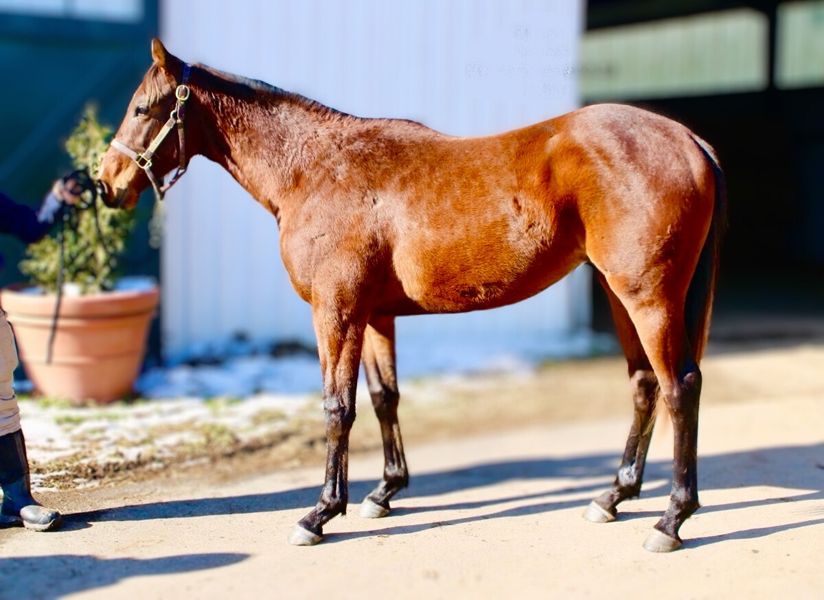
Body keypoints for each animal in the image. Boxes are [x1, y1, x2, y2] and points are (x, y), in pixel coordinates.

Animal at [97, 39, 725, 552]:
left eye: (142, 108)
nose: (106, 183)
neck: (313, 169)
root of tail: (688, 139)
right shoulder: (374, 315)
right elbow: (384, 399)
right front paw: (384, 491)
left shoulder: (336, 312)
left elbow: (338, 407)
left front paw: (320, 513)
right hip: (622, 296)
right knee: (644, 385)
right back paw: (614, 496)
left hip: (649, 299)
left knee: (679, 387)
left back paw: (672, 518)